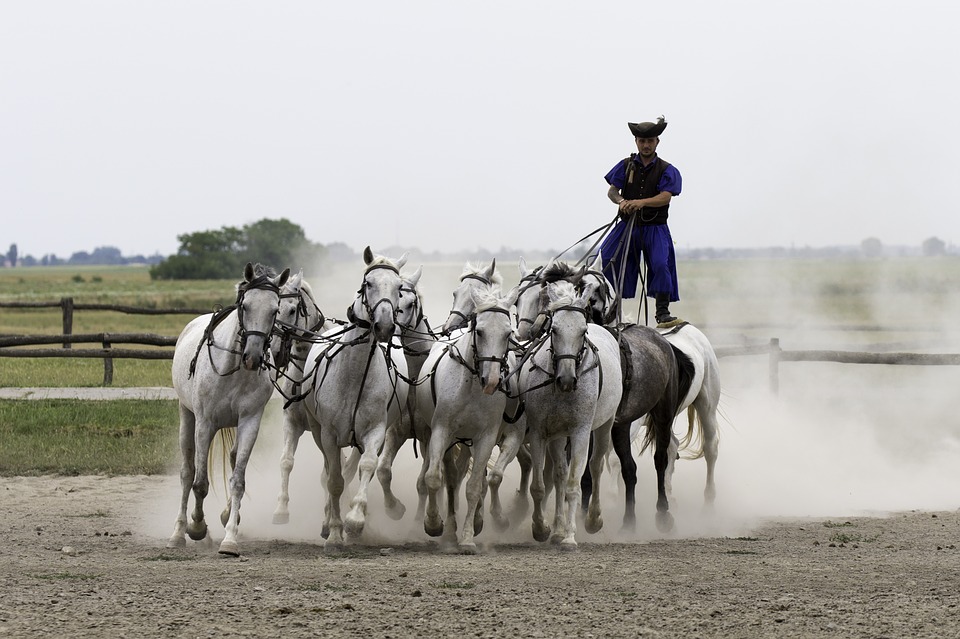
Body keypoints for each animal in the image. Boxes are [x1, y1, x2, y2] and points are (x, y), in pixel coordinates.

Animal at [169, 260, 290, 556]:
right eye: (245, 306)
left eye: (275, 310)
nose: (253, 357)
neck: (233, 369)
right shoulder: (205, 423)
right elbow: (200, 483)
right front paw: (197, 527)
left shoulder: (249, 422)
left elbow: (238, 481)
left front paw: (230, 539)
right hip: (187, 416)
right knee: (187, 473)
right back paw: (178, 533)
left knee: (234, 460)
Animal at [296, 248, 408, 552]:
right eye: (368, 283)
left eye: (399, 287)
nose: (384, 326)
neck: (355, 374)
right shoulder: (329, 434)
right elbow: (334, 480)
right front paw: (335, 533)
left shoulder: (374, 430)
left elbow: (366, 466)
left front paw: (356, 520)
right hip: (317, 431)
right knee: (330, 472)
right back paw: (327, 523)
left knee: (353, 468)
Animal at [414, 282, 520, 552]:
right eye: (480, 331)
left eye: (507, 334)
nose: (491, 381)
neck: (471, 386)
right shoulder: (441, 431)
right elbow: (433, 478)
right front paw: (433, 524)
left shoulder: (485, 438)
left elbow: (473, 487)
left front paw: (468, 537)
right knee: (449, 478)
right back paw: (447, 526)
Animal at [516, 280, 624, 552]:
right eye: (554, 329)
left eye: (582, 331)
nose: (566, 380)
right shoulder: (541, 432)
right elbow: (541, 485)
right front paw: (543, 529)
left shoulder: (580, 432)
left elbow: (574, 484)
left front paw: (569, 537)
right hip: (558, 436)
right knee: (559, 475)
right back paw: (556, 529)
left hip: (604, 426)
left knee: (596, 466)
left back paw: (593, 519)